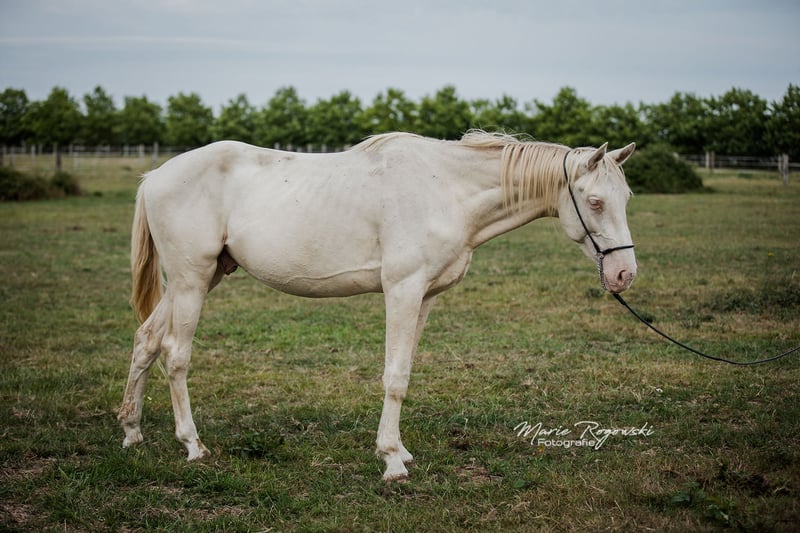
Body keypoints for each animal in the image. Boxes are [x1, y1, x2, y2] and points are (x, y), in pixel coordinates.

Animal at [118, 130, 637, 481]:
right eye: (594, 202)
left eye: (626, 197)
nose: (624, 275)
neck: (445, 190)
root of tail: (156, 176)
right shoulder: (402, 291)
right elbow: (394, 378)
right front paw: (391, 461)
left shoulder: (424, 297)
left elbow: (403, 372)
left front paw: (399, 452)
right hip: (191, 280)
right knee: (175, 354)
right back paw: (193, 446)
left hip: (199, 279)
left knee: (145, 342)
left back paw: (132, 432)